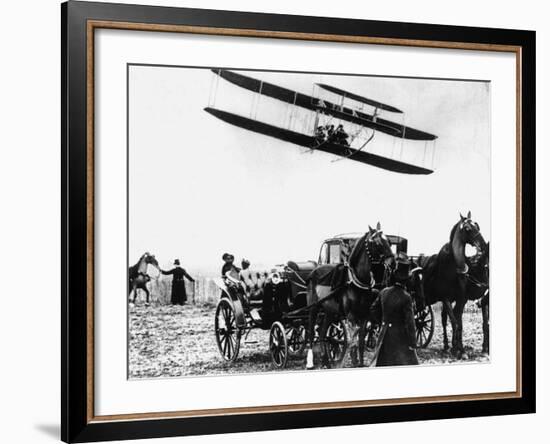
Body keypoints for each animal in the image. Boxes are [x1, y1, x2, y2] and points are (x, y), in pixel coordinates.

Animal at [306, 224, 396, 370]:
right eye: (377, 243)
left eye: (388, 241)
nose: (393, 263)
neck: (357, 281)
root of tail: (314, 271)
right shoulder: (351, 316)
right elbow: (352, 341)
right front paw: (354, 363)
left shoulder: (364, 316)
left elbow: (360, 341)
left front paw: (360, 363)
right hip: (313, 308)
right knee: (311, 332)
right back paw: (311, 363)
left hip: (330, 311)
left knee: (322, 332)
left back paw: (326, 362)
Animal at [420, 212, 490, 358]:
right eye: (468, 228)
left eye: (477, 225)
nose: (483, 245)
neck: (453, 268)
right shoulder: (446, 298)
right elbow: (454, 322)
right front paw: (457, 349)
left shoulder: (461, 299)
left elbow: (460, 323)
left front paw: (460, 349)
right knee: (441, 320)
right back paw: (447, 345)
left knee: (444, 318)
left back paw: (448, 346)